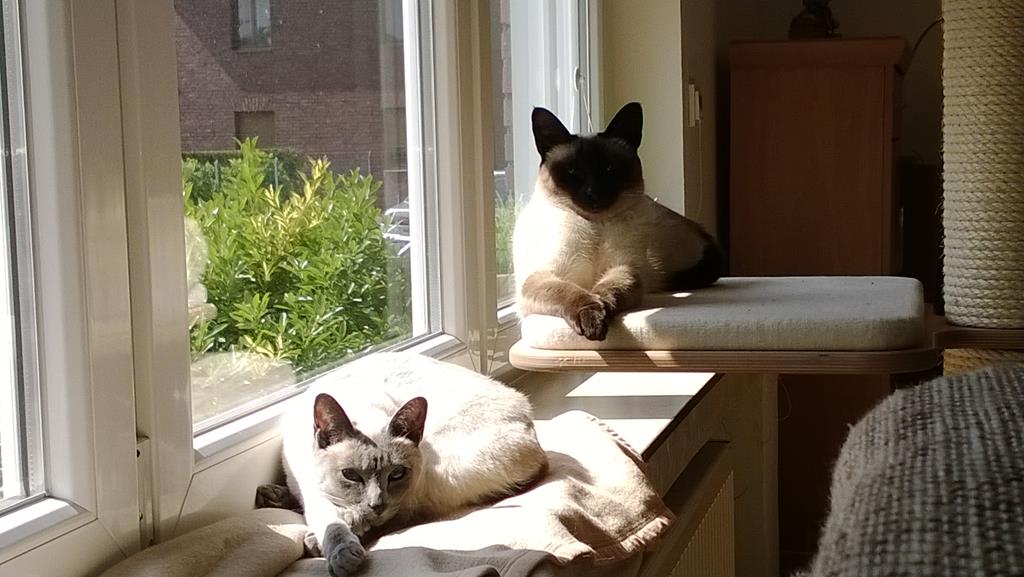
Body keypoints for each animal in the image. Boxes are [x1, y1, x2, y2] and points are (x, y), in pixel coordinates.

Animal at [281, 352, 548, 577]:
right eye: (351, 475)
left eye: (396, 474)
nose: (376, 505)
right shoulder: (314, 494)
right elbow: (333, 525)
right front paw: (344, 545)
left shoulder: (404, 492)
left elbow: (372, 518)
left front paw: (349, 543)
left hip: (434, 469)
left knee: (412, 513)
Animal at [513, 101, 723, 341]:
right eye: (573, 172)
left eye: (609, 170)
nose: (592, 193)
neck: (594, 225)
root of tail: (702, 230)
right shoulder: (541, 276)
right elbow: (571, 293)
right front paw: (592, 318)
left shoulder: (625, 268)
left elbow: (606, 291)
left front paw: (599, 315)